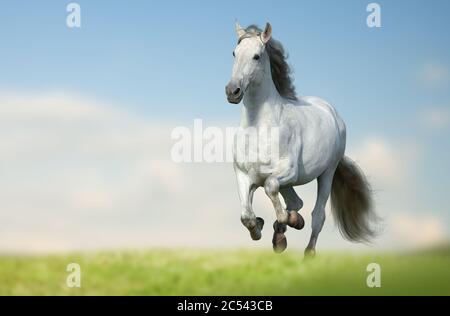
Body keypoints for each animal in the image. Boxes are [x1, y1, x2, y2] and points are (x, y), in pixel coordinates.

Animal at [225, 24, 376, 256]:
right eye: (234, 53)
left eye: (257, 56)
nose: (232, 91)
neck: (259, 128)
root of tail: (330, 111)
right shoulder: (244, 175)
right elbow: (246, 217)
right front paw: (260, 226)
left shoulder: (288, 171)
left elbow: (270, 189)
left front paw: (288, 220)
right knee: (296, 201)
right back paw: (280, 236)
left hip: (327, 172)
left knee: (317, 214)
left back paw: (307, 251)